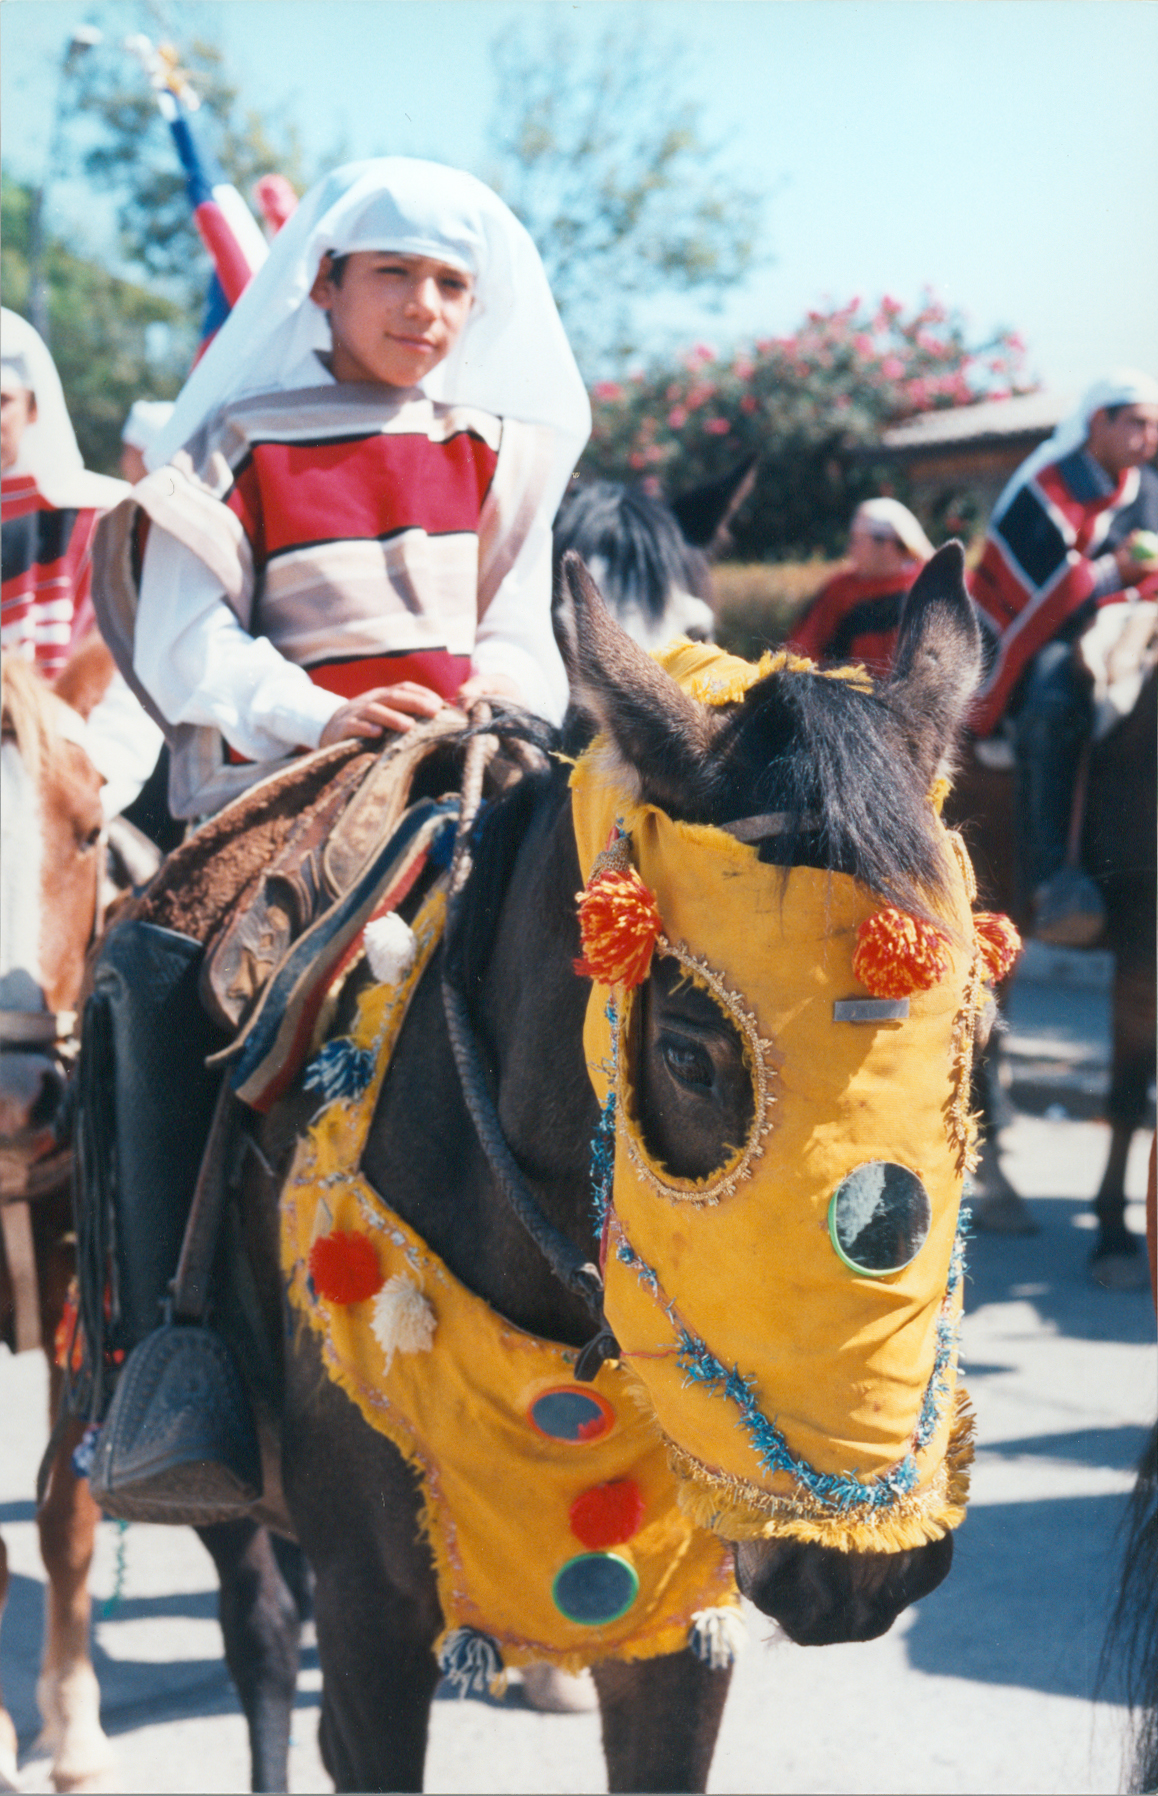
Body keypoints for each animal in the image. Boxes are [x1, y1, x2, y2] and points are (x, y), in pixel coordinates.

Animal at [101, 538, 983, 1788]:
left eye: (970, 1031)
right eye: (688, 1050)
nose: (862, 1569)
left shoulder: (681, 1633)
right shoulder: (372, 1629)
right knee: (262, 1634)